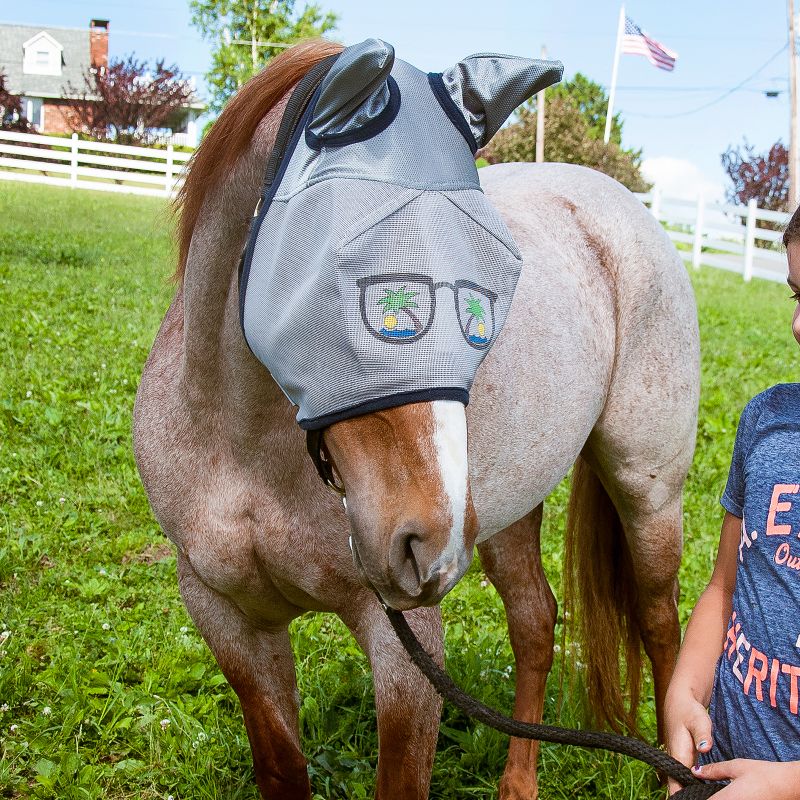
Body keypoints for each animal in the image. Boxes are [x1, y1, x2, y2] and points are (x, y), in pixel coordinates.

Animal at [133, 38, 699, 799]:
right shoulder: (226, 616)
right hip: (506, 511)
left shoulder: (405, 645)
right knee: (536, 621)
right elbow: (282, 767)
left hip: (644, 491)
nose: (424, 540)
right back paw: (518, 783)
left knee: (659, 618)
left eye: (499, 270)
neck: (242, 445)